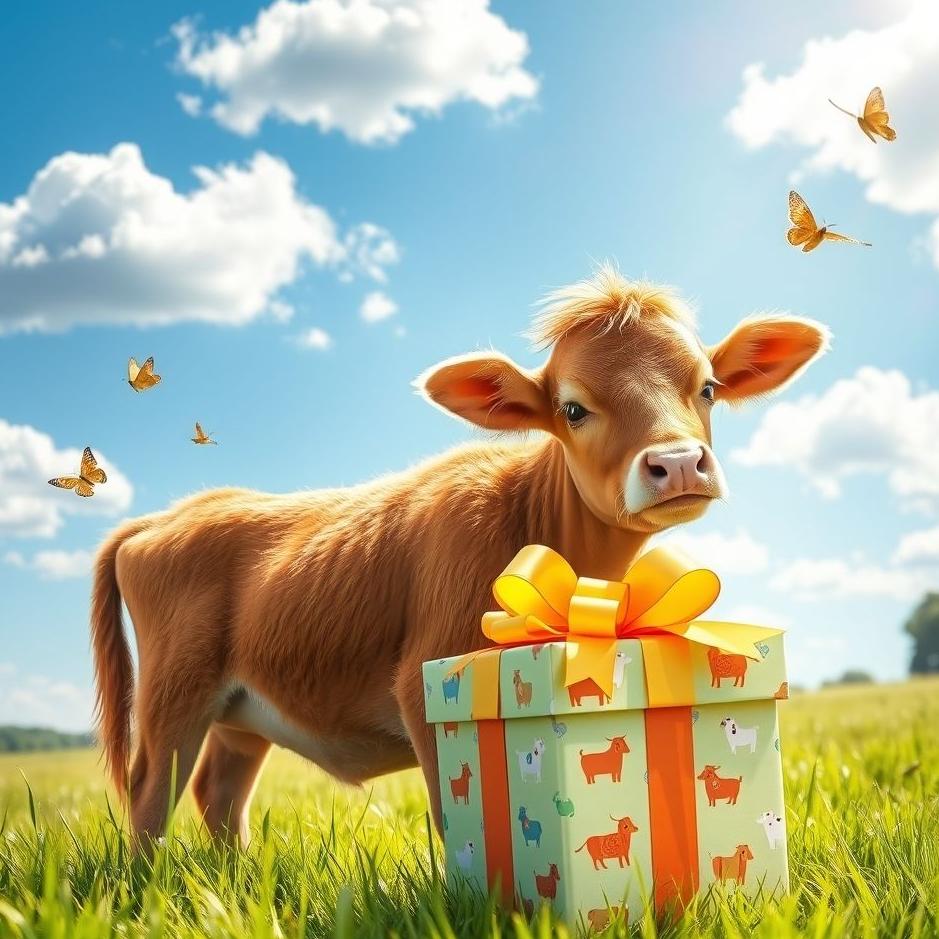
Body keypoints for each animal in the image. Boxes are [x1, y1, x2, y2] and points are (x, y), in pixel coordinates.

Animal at [88, 266, 828, 847]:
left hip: (243, 711)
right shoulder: (424, 678)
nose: (675, 463)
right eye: (572, 408)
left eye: (707, 388)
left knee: (218, 794)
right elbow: (457, 818)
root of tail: (178, 510)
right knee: (150, 799)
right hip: (173, 692)